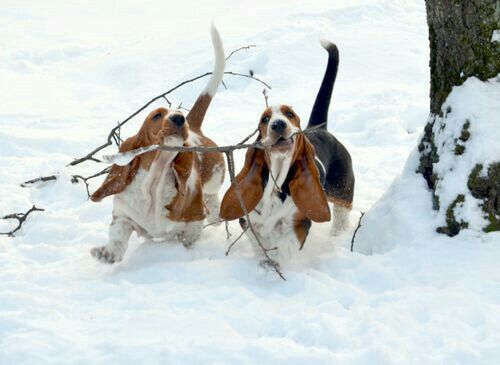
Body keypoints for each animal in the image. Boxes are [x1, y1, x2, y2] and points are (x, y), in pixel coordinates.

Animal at [90, 26, 227, 264]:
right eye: (156, 115)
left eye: (178, 113)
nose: (180, 119)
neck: (155, 181)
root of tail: (195, 128)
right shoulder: (123, 216)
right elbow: (117, 238)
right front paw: (106, 254)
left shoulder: (193, 223)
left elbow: (188, 238)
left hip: (214, 178)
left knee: (213, 199)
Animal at [220, 39, 356, 260]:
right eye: (265, 119)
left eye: (290, 114)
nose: (278, 124)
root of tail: (319, 128)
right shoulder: (249, 221)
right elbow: (259, 241)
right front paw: (265, 259)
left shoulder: (299, 222)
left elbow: (286, 244)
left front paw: (278, 259)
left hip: (342, 190)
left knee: (341, 215)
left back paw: (336, 237)